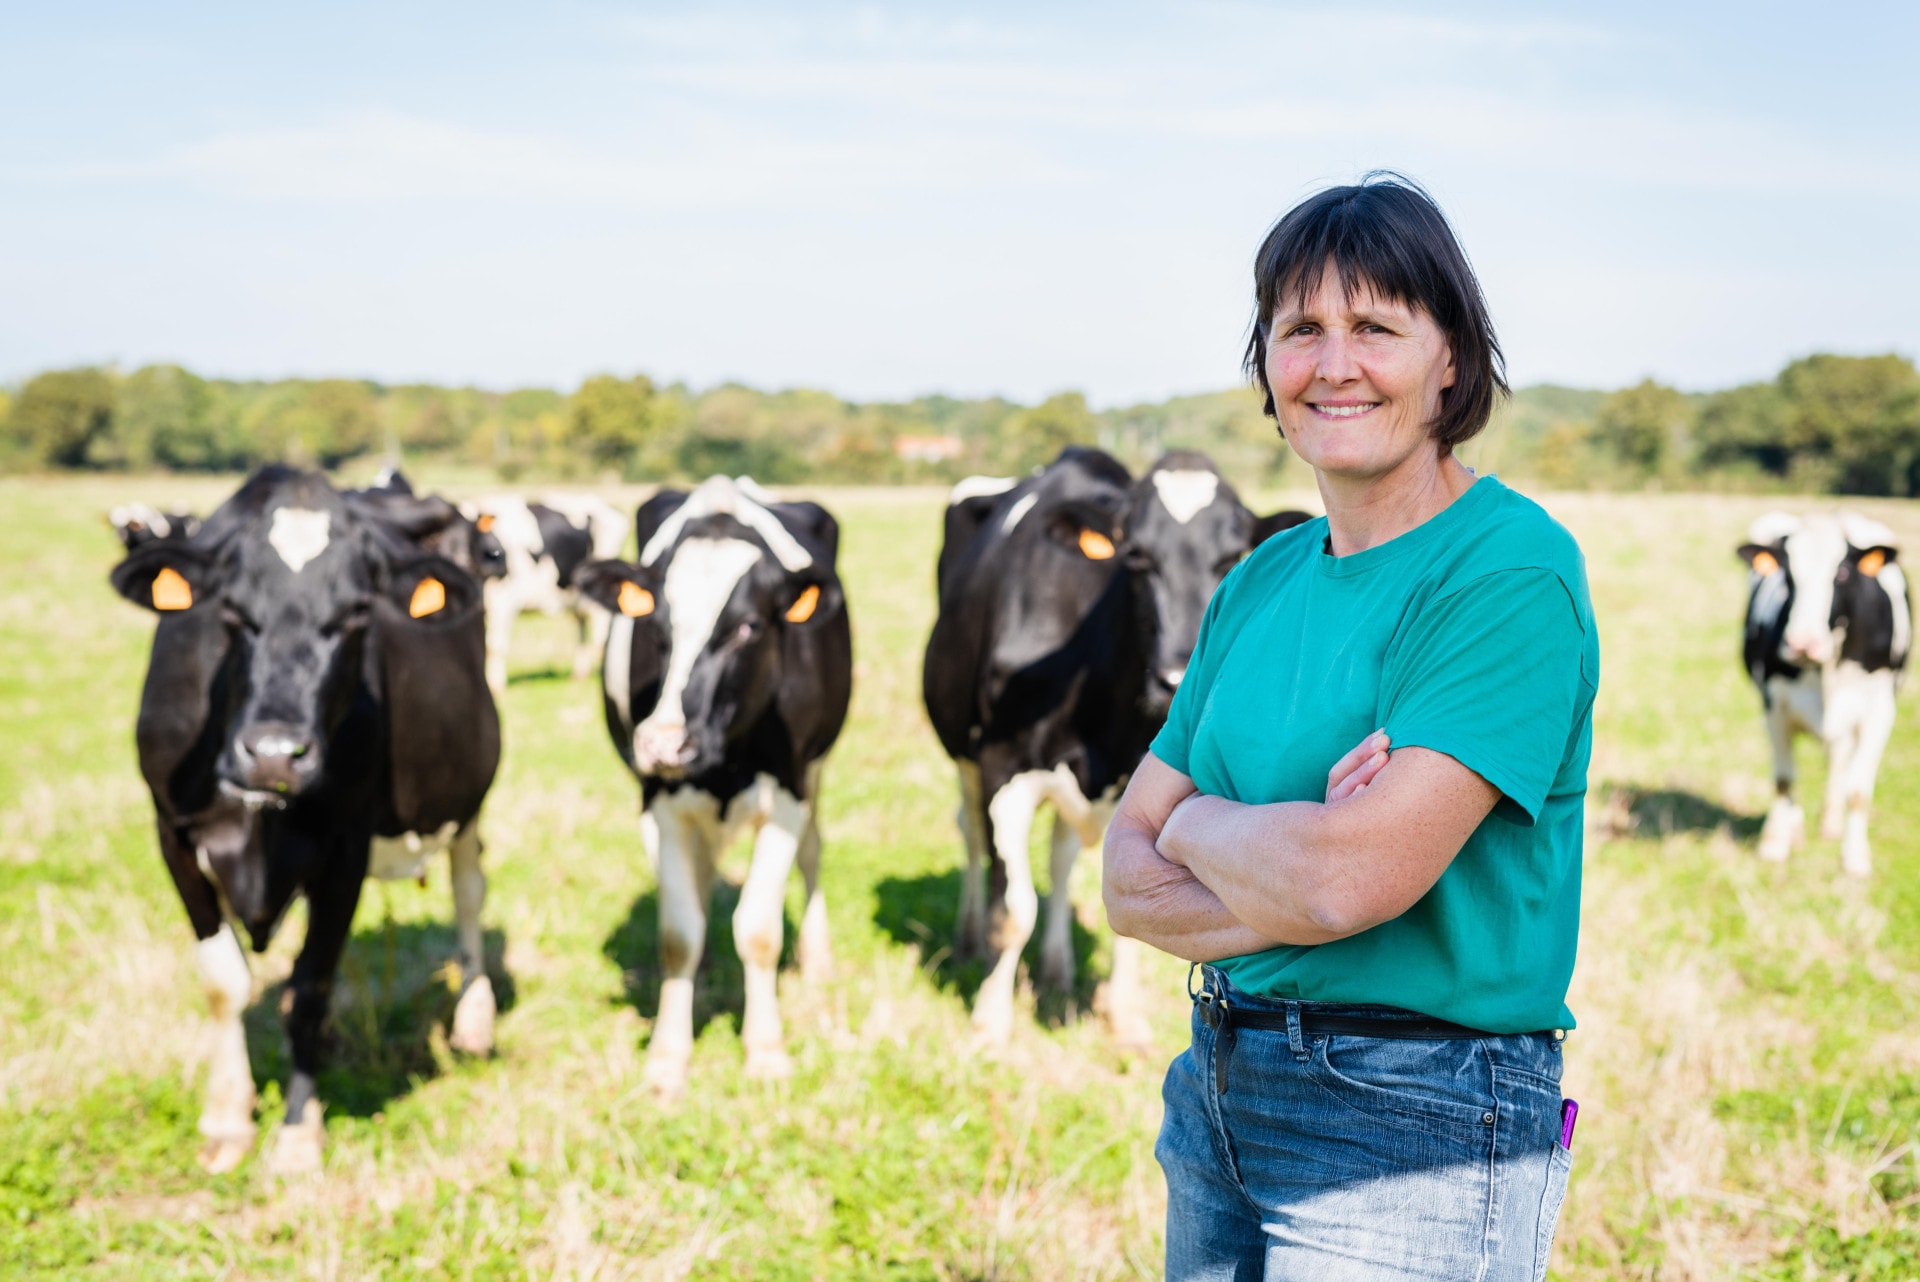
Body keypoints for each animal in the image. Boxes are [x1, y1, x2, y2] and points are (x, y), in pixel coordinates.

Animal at [110, 466, 502, 1175]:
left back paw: (474, 1019)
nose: (273, 753)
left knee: (468, 890)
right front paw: (227, 1116)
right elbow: (225, 983)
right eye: (233, 614)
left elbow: (309, 987)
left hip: (469, 792)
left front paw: (297, 1131)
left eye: (355, 616)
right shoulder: (170, 831)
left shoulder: (346, 845)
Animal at [464, 494, 631, 694]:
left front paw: (495, 687)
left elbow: (494, 646)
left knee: (601, 628)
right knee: (582, 624)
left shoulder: (504, 601)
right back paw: (579, 674)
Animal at [571, 475, 851, 1096]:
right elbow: (679, 933)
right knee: (698, 883)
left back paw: (820, 959)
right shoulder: (658, 801)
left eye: (748, 627)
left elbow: (760, 931)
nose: (663, 742)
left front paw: (766, 1051)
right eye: (655, 627)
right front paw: (668, 1056)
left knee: (815, 853)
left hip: (818, 774)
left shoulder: (788, 796)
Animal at [923, 447, 1308, 1046]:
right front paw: (991, 1019)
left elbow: (1137, 902)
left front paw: (1123, 1018)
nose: (1177, 679)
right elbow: (1013, 908)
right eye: (1136, 557)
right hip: (963, 753)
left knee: (1060, 859)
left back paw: (1057, 969)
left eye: (1232, 558)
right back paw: (969, 942)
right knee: (971, 837)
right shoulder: (1002, 770)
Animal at [1739, 511, 1910, 875]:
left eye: (1842, 573)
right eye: (1787, 575)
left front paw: (1855, 857)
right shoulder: (1774, 704)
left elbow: (1858, 789)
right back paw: (1794, 829)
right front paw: (1775, 845)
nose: (1803, 643)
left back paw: (1831, 825)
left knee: (1838, 761)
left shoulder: (1880, 711)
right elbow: (1784, 779)